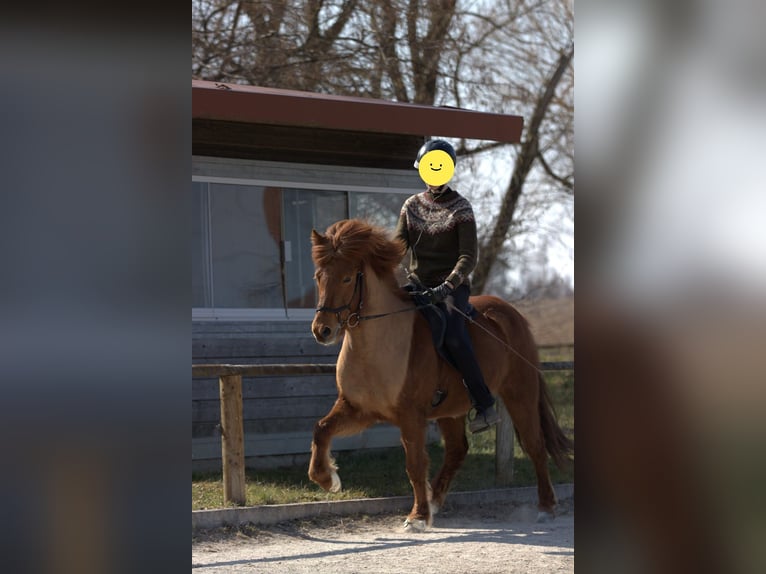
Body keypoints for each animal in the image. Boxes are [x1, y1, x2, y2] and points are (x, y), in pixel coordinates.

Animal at [308, 219, 573, 531]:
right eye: (319, 277)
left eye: (348, 278)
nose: (322, 330)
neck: (376, 344)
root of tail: (510, 313)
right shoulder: (358, 410)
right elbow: (321, 429)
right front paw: (328, 480)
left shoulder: (410, 416)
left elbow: (414, 464)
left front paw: (418, 517)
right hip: (451, 411)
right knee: (458, 450)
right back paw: (435, 499)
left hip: (520, 394)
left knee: (535, 446)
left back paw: (546, 507)